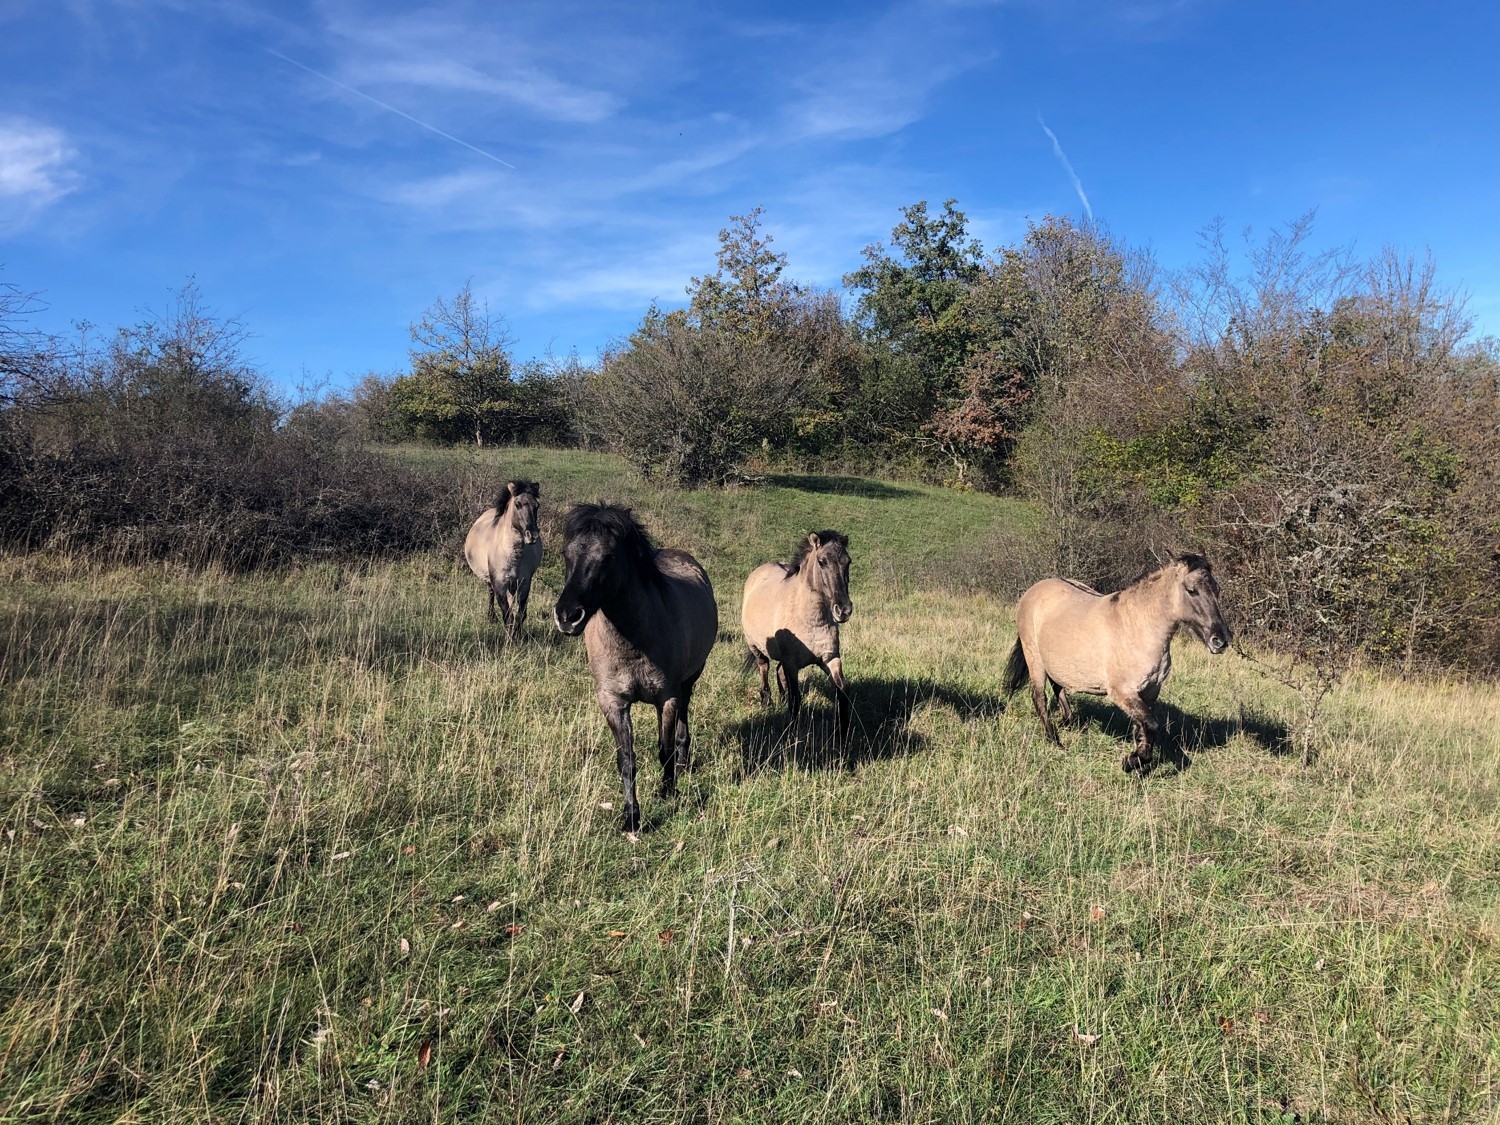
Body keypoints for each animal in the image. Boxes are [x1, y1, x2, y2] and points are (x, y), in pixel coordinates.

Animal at [468, 480, 546, 642]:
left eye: (537, 505)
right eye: (517, 504)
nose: (532, 535)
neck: (513, 555)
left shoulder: (524, 583)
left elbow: (520, 613)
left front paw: (518, 636)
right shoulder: (499, 583)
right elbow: (507, 615)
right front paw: (511, 639)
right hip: (490, 579)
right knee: (491, 594)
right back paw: (491, 617)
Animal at [555, 507, 717, 834]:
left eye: (608, 558)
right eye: (566, 554)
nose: (567, 616)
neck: (633, 639)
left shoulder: (666, 698)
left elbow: (664, 749)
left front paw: (668, 792)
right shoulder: (613, 703)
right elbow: (626, 760)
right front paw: (631, 816)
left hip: (690, 679)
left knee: (684, 713)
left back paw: (683, 761)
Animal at [741, 534, 858, 744]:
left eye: (848, 561)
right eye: (822, 561)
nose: (843, 610)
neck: (810, 618)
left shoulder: (830, 659)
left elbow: (842, 690)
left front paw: (842, 734)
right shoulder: (791, 663)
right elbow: (796, 700)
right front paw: (793, 737)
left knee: (778, 671)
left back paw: (781, 698)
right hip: (755, 647)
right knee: (764, 667)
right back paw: (767, 701)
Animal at [1008, 555, 1230, 774]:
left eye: (1218, 589)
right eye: (1192, 590)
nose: (1220, 640)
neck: (1137, 627)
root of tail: (1033, 591)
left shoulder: (1149, 692)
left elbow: (1142, 729)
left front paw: (1139, 763)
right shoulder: (1121, 691)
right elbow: (1151, 725)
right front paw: (1131, 762)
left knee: (1058, 686)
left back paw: (1067, 721)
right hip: (1034, 659)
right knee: (1039, 698)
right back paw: (1055, 741)